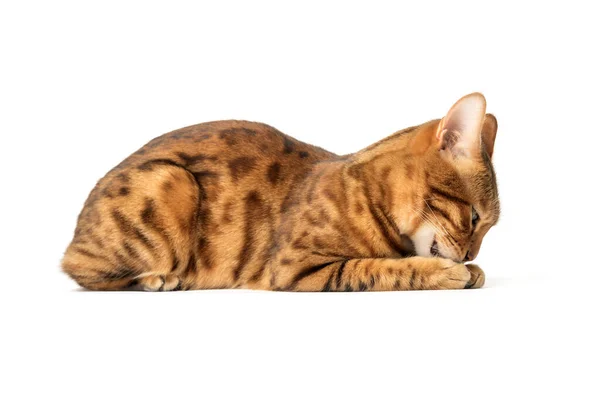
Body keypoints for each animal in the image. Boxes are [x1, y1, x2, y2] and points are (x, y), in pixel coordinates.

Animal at [62, 92, 502, 292]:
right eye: (474, 217)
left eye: (488, 228)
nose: (469, 254)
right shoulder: (298, 267)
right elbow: (376, 268)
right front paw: (447, 272)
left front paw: (474, 270)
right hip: (171, 182)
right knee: (82, 271)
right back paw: (159, 278)